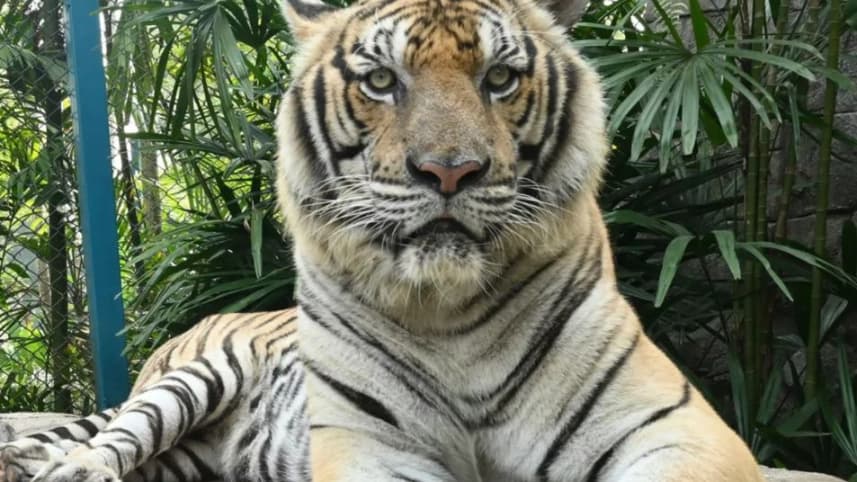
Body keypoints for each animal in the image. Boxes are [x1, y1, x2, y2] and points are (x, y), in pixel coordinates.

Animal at [0, 0, 765, 480]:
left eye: (499, 78)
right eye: (379, 81)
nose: (449, 170)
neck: (451, 315)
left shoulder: (674, 427)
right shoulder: (368, 443)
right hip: (192, 380)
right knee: (113, 437)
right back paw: (69, 470)